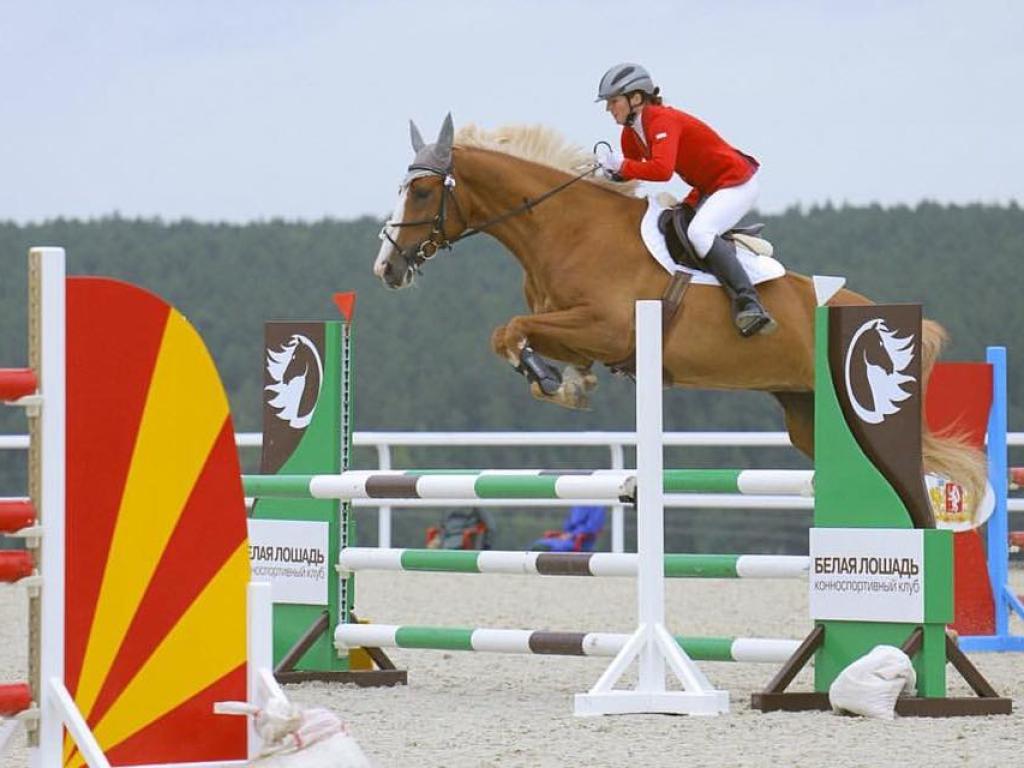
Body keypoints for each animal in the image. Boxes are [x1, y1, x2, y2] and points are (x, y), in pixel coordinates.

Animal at [371, 114, 986, 523]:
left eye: (421, 190)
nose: (386, 267)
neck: (564, 229)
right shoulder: (578, 331)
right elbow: (507, 333)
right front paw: (565, 383)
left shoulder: (606, 327)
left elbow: (513, 330)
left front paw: (551, 381)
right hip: (806, 414)